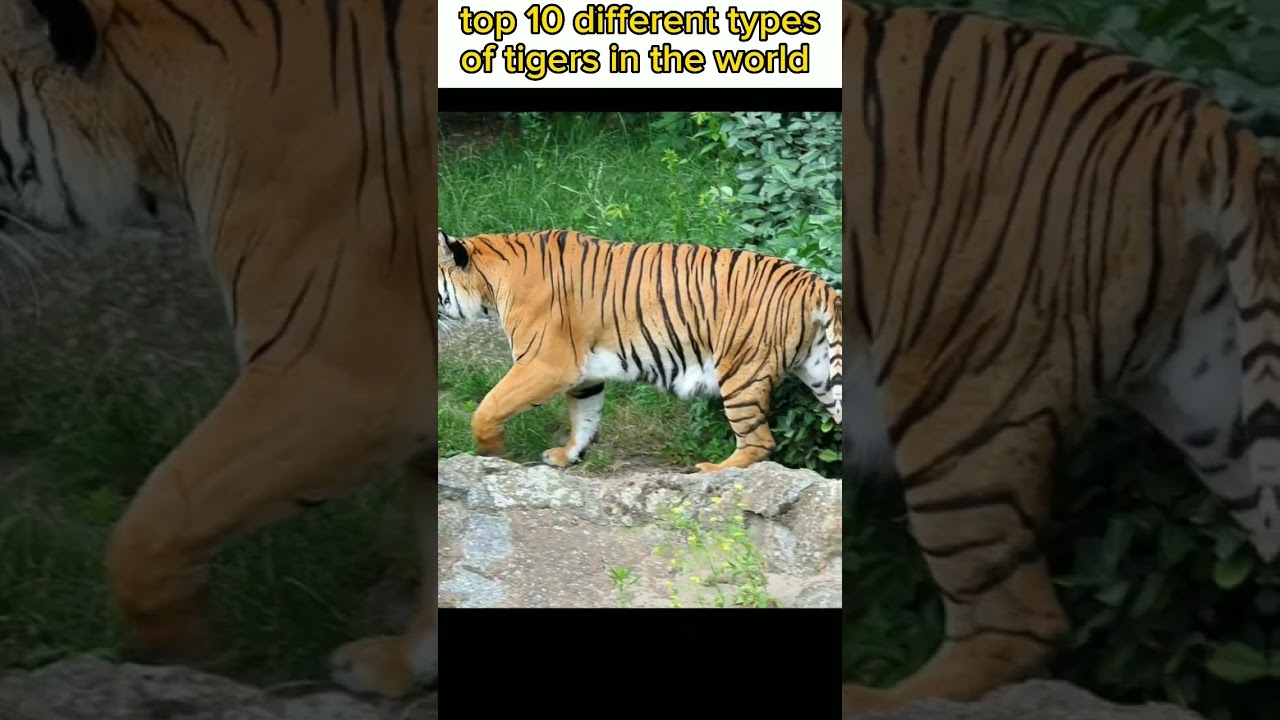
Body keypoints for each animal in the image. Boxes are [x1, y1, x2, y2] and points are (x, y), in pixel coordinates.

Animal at [436, 229, 843, 473]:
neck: (489, 285)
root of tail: (813, 281)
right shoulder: (583, 376)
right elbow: (584, 419)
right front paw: (567, 456)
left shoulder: (545, 364)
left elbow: (487, 408)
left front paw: (493, 453)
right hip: (822, 374)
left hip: (741, 372)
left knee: (760, 441)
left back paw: (710, 470)